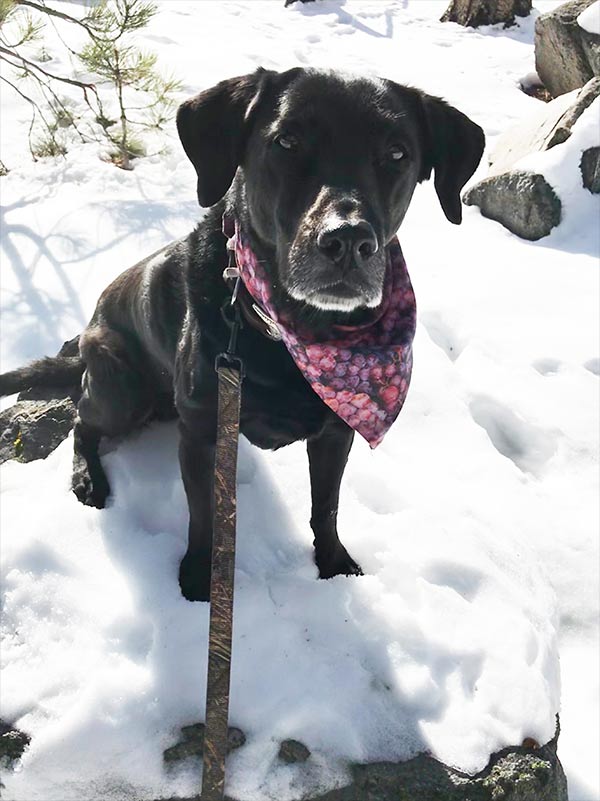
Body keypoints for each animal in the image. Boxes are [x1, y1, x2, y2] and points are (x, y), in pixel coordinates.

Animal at [0, 69, 482, 600]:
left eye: (397, 153)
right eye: (286, 141)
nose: (348, 240)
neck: (288, 331)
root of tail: (87, 336)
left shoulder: (335, 432)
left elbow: (327, 507)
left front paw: (332, 564)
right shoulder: (202, 433)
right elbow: (204, 518)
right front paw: (198, 579)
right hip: (120, 389)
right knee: (82, 423)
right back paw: (88, 479)